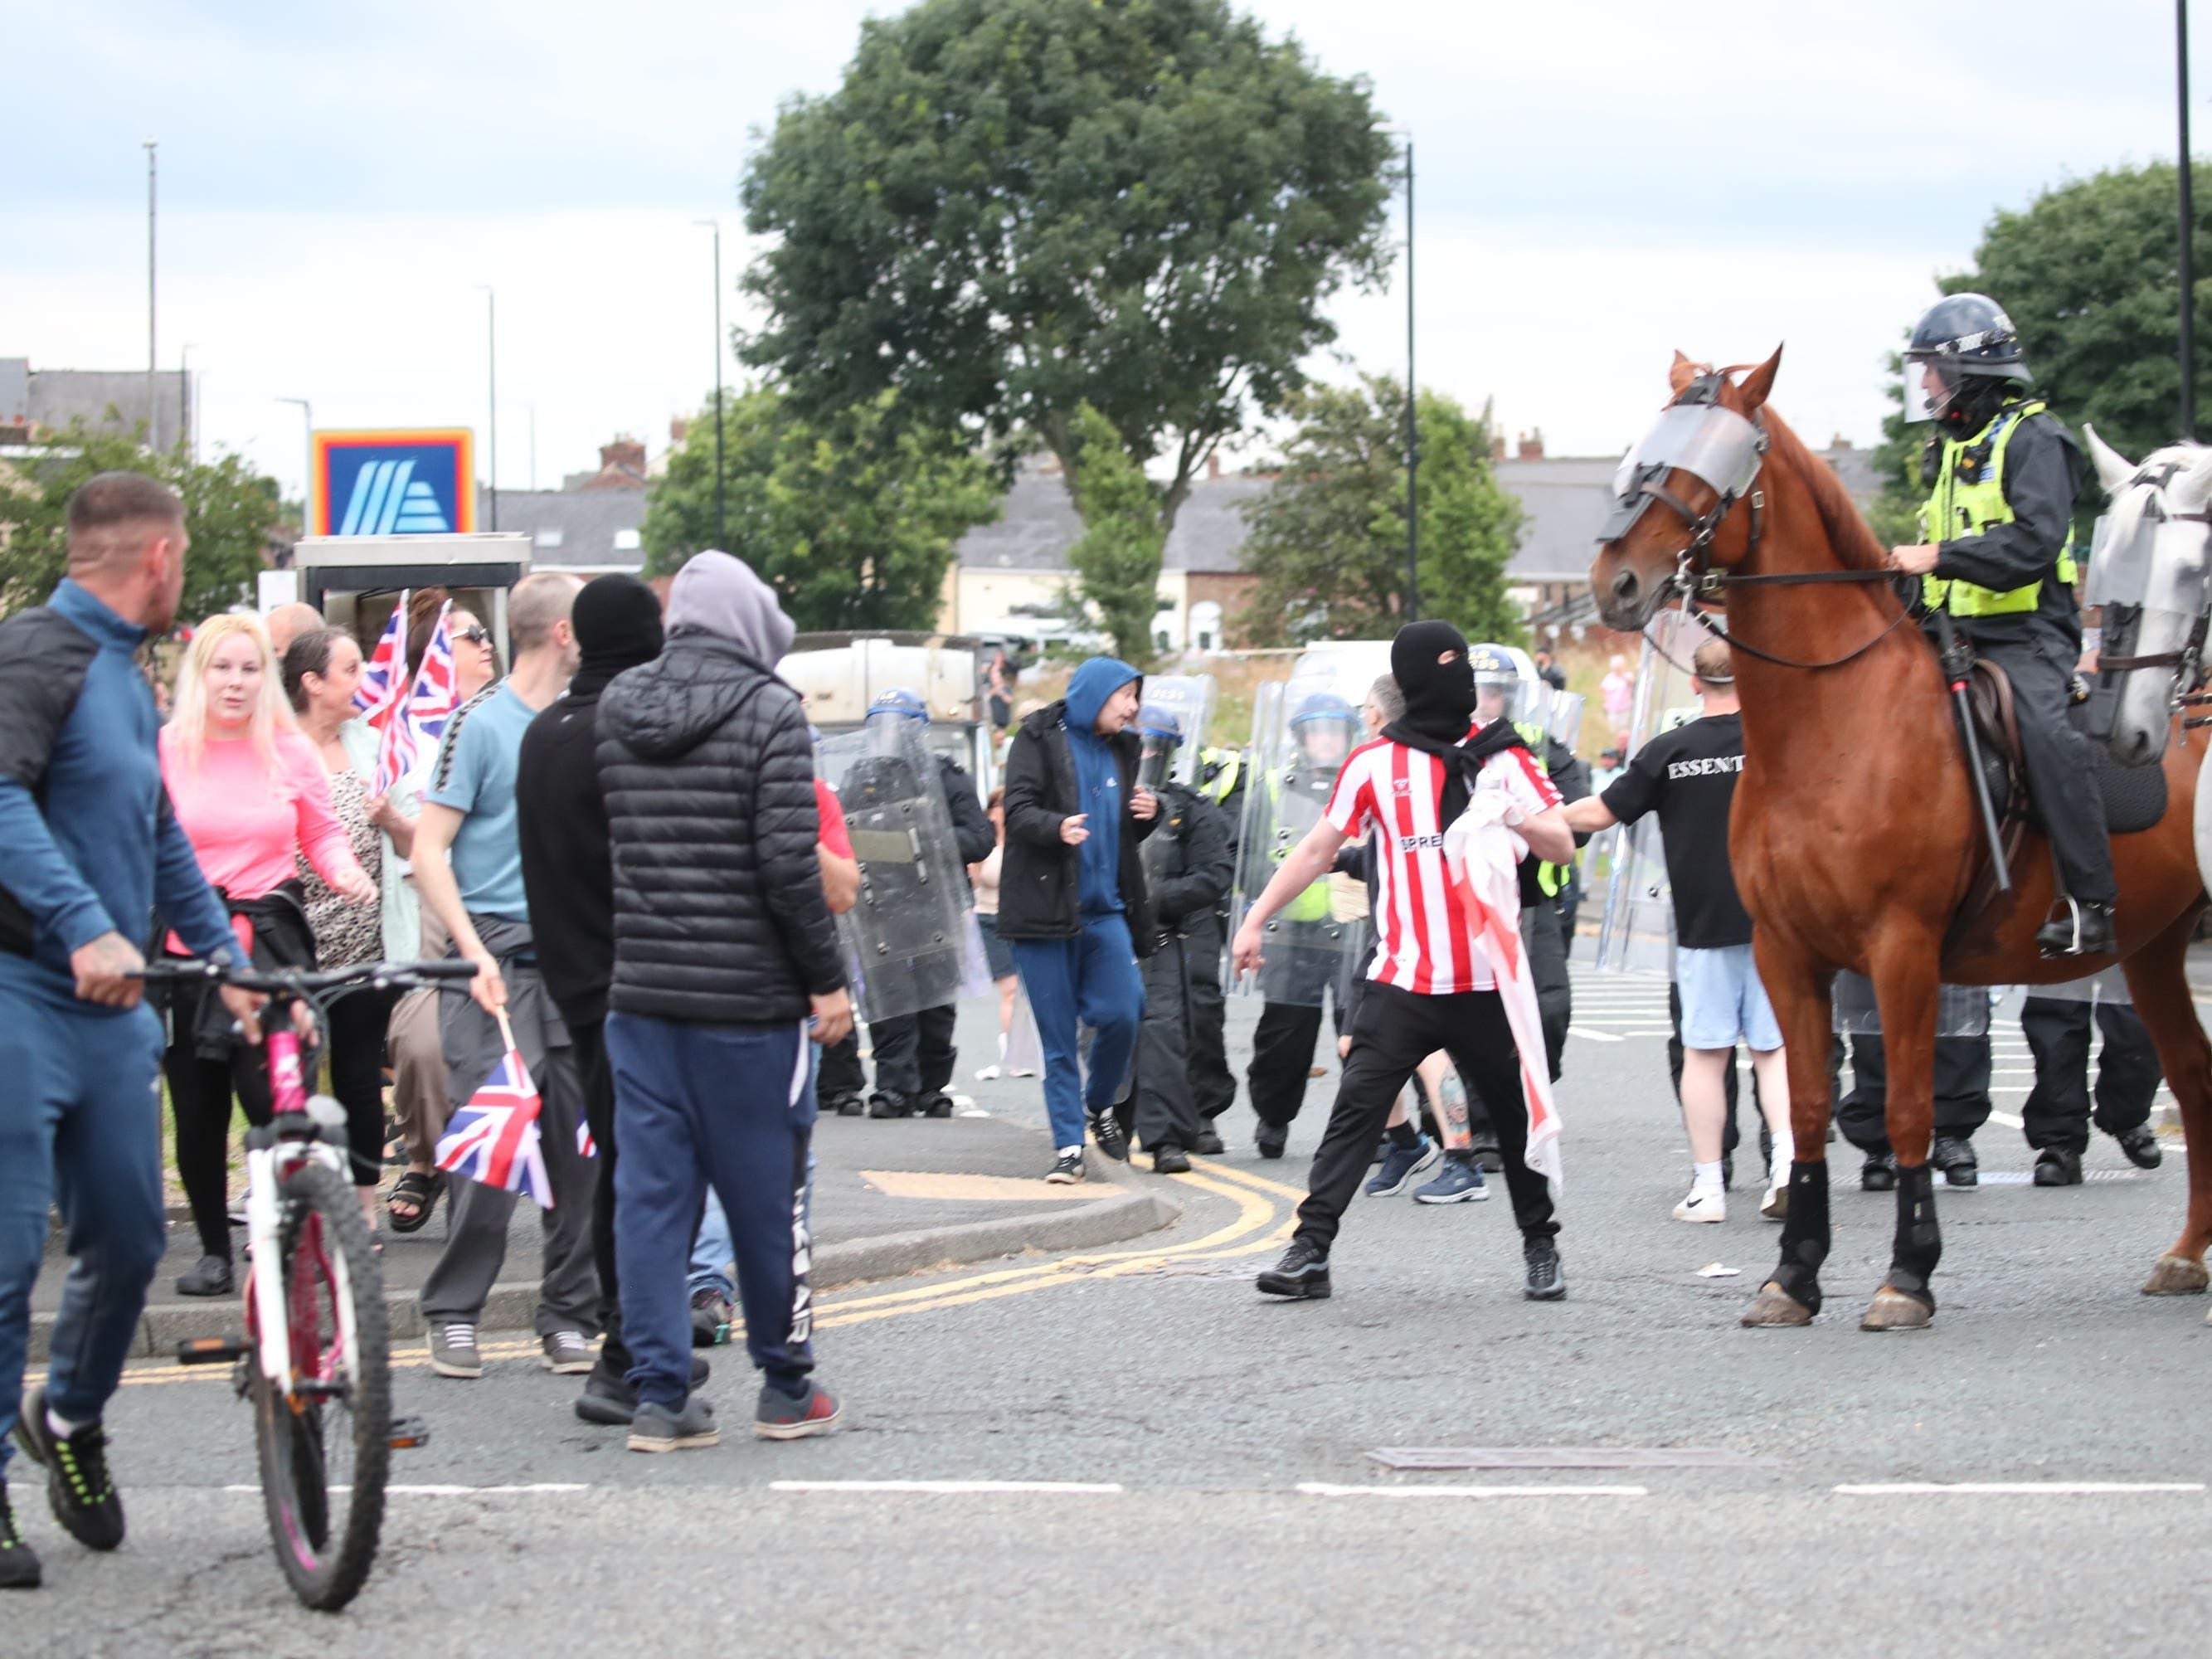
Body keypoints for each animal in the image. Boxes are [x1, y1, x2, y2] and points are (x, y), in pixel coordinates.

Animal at [1592, 353, 2212, 1335]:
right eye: (1645, 447)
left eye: (1709, 464)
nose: (1614, 579)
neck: (1831, 724)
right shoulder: (1786, 952)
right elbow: (1807, 1107)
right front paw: (1793, 1272)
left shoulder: (1902, 948)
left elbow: (1914, 1111)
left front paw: (1907, 1273)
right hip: (2154, 949)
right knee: (2193, 1078)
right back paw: (2187, 1255)